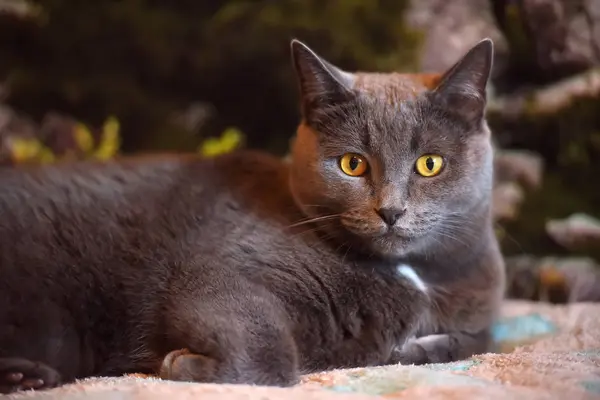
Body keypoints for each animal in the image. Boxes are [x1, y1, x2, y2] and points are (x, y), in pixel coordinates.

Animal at [0, 37, 506, 394]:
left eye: (430, 164)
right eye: (352, 164)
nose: (391, 210)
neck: (411, 275)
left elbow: (477, 339)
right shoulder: (223, 270)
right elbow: (273, 357)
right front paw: (181, 365)